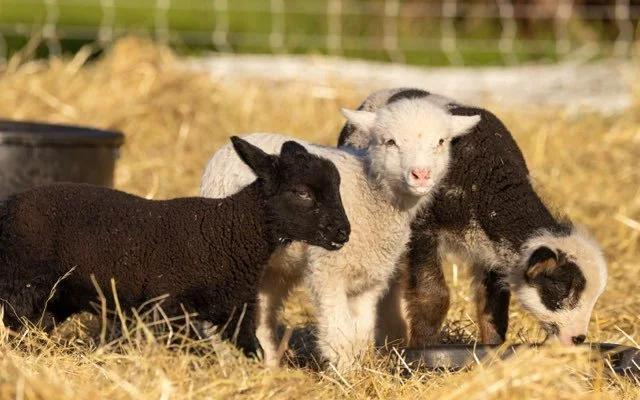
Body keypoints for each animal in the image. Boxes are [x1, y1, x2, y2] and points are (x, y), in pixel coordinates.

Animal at [0, 137, 351, 357]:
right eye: (302, 193)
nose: (344, 232)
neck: (228, 233)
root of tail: (8, 204)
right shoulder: (168, 310)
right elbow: (198, 352)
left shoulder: (236, 314)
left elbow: (253, 351)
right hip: (18, 288)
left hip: (53, 302)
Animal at [200, 100, 481, 370]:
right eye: (390, 141)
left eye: (441, 142)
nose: (421, 175)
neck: (372, 192)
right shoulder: (327, 271)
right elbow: (340, 330)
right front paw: (345, 373)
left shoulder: (370, 278)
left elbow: (361, 330)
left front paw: (359, 368)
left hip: (274, 268)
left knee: (263, 312)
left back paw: (268, 367)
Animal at [338, 88, 608, 348]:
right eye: (563, 290)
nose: (578, 339)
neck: (484, 180)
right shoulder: (422, 229)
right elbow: (433, 295)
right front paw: (424, 346)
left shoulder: (492, 251)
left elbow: (494, 304)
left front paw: (494, 346)